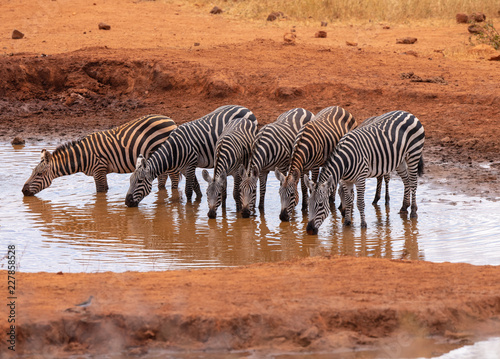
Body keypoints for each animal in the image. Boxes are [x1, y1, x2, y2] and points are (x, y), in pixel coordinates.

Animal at [23, 114, 180, 197]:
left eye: (39, 174)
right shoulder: (101, 171)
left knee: (174, 177)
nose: (23, 191)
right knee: (163, 176)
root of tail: (170, 120)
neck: (82, 157)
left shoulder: (99, 170)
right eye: (32, 173)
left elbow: (101, 192)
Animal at [127, 105, 256, 208]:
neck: (174, 150)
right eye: (130, 180)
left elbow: (188, 190)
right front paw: (198, 200)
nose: (127, 202)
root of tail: (246, 108)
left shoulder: (191, 164)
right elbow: (196, 187)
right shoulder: (184, 168)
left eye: (139, 181)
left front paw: (189, 210)